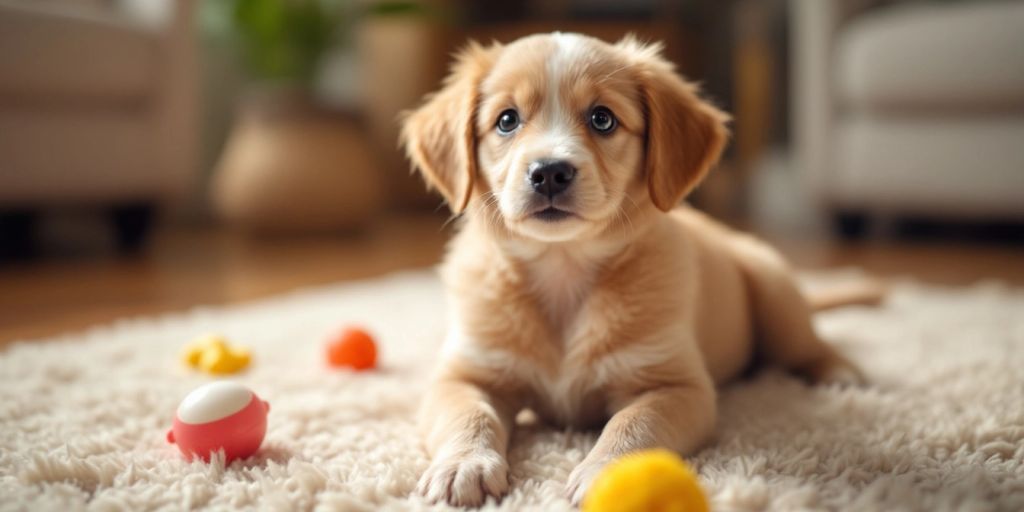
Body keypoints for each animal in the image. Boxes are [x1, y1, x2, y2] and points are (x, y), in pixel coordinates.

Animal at [403, 33, 868, 507]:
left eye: (602, 119)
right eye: (507, 120)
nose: (549, 172)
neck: (563, 267)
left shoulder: (675, 386)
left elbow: (634, 423)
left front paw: (608, 473)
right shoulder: (465, 374)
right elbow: (469, 415)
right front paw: (465, 464)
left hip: (774, 288)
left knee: (808, 344)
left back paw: (839, 373)